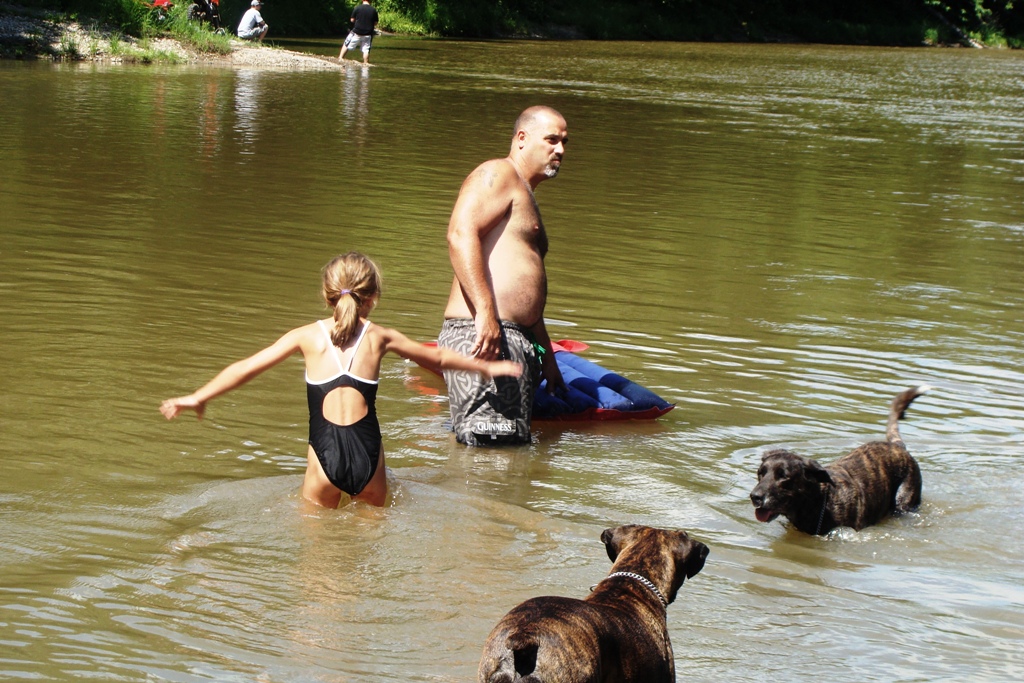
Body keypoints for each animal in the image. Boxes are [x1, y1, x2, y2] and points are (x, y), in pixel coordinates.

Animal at [749, 385, 930, 535]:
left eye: (784, 476)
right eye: (760, 473)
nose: (754, 497)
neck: (817, 502)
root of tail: (898, 446)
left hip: (903, 502)